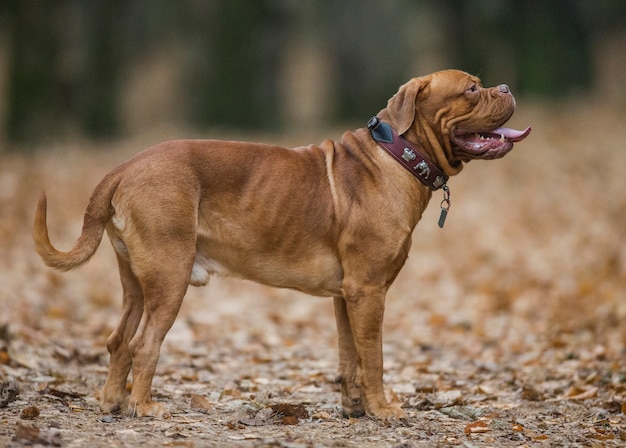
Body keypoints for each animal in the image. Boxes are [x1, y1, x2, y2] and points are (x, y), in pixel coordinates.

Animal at [33, 70, 528, 420]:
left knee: (119, 339)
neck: (398, 155)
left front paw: (356, 409)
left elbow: (350, 357)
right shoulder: (369, 291)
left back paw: (112, 403)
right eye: (471, 89)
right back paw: (144, 407)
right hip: (170, 275)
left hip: (136, 280)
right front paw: (384, 410)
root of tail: (124, 166)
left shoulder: (346, 296)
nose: (506, 86)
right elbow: (374, 358)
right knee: (144, 343)